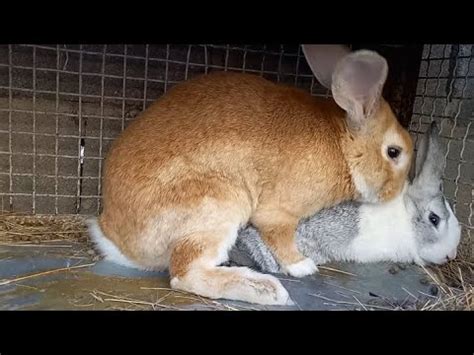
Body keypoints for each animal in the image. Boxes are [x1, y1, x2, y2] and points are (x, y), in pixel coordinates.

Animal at [87, 44, 412, 306]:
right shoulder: (279, 212)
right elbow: (281, 239)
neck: (343, 147)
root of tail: (116, 240)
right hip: (219, 206)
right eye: (394, 152)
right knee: (184, 274)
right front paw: (303, 266)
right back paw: (268, 291)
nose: (396, 192)